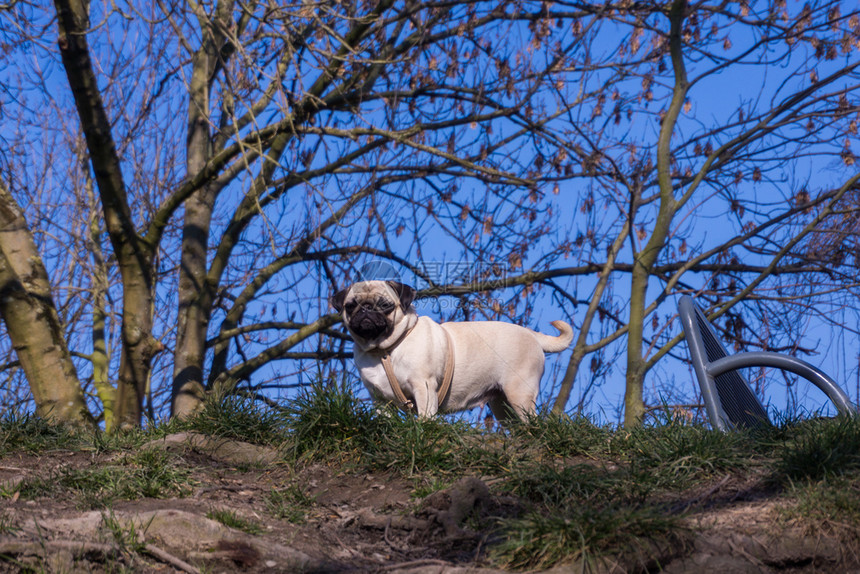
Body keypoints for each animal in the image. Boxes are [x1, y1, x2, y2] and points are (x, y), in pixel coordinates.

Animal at [332, 282, 576, 424]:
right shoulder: (380, 400)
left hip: (519, 394)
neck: (383, 351)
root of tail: (532, 334)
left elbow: (425, 417)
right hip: (503, 404)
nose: (366, 309)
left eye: (385, 305)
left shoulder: (424, 386)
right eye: (350, 306)